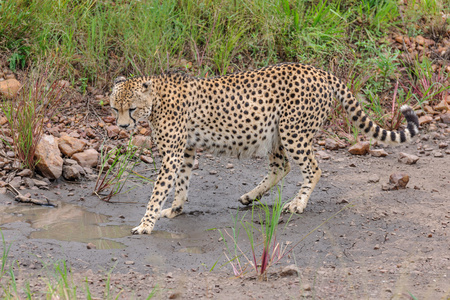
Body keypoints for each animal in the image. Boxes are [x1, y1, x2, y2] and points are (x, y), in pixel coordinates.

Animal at [110, 63, 420, 236]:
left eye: (132, 109)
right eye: (115, 108)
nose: (123, 126)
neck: (155, 100)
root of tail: (320, 71)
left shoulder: (173, 154)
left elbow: (158, 191)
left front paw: (146, 224)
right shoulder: (185, 151)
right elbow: (181, 185)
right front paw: (175, 210)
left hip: (293, 132)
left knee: (313, 168)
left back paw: (298, 204)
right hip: (277, 134)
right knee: (282, 165)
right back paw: (250, 196)